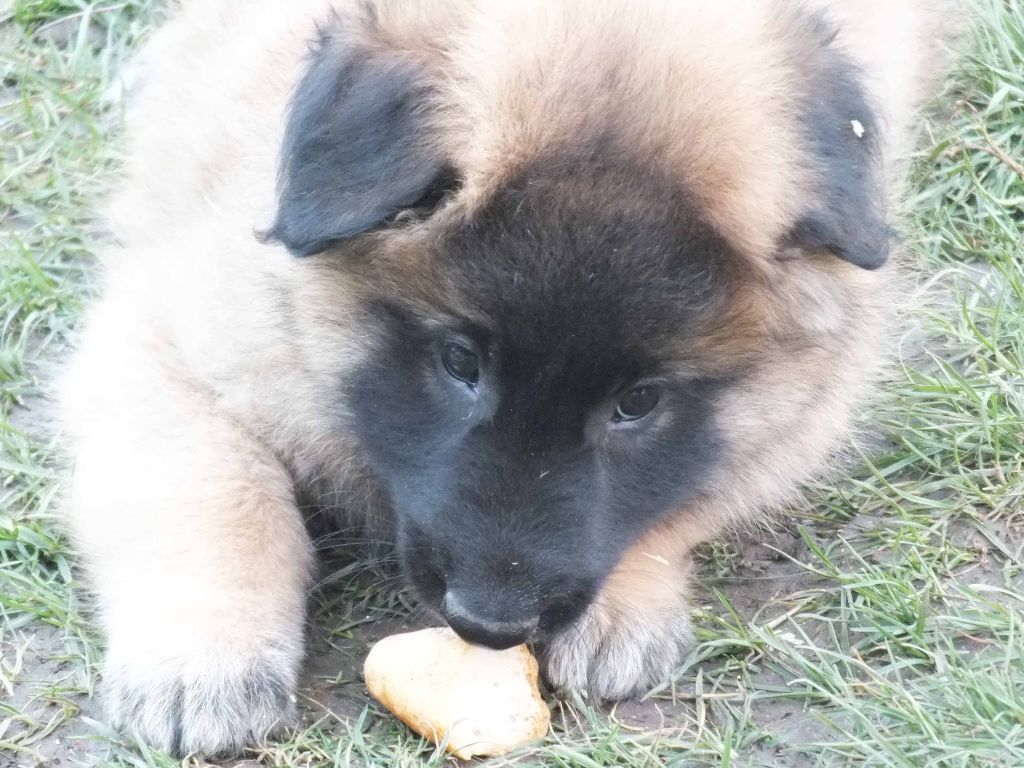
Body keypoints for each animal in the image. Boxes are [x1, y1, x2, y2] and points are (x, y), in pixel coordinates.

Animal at [61, 0, 950, 757]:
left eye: (637, 403)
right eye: (460, 362)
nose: (488, 623)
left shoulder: (804, 405)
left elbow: (682, 492)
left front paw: (625, 603)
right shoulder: (166, 345)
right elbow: (212, 491)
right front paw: (202, 660)